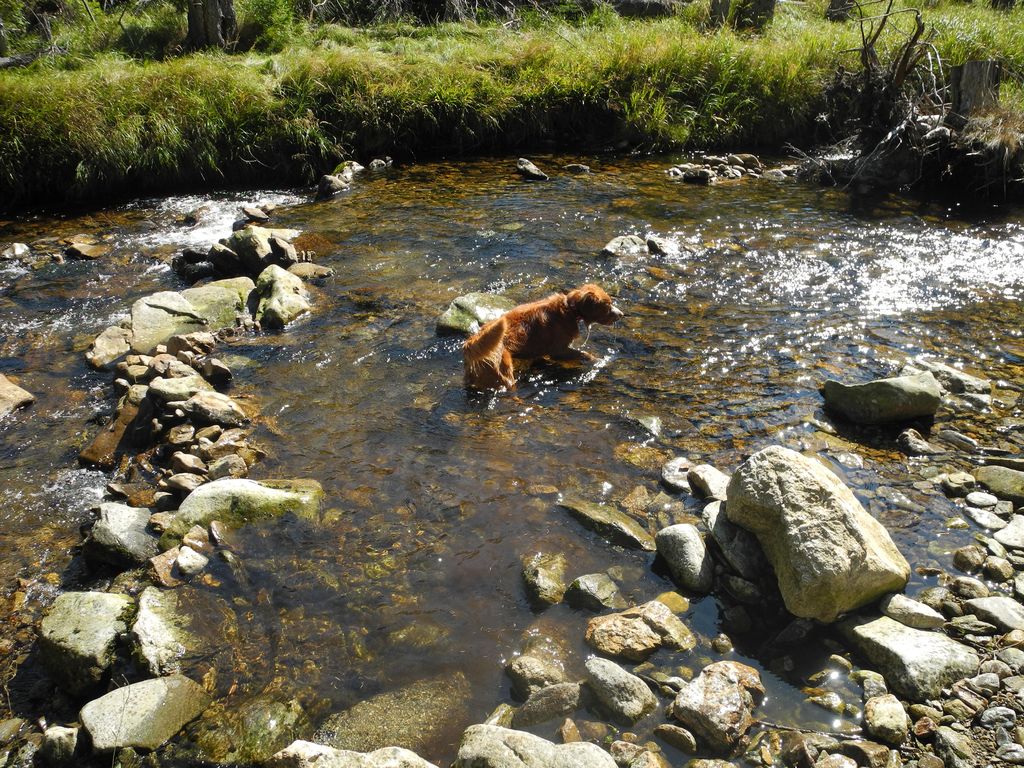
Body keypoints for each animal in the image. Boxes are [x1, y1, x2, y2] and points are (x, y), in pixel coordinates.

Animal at [464, 282, 622, 391]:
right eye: (607, 305)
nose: (621, 314)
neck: (569, 309)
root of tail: (472, 341)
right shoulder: (558, 351)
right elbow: (584, 354)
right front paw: (599, 360)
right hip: (505, 373)